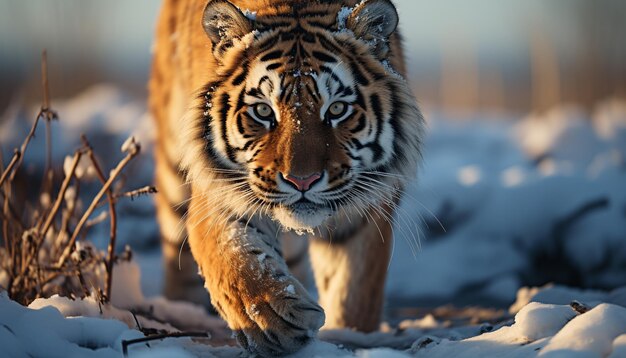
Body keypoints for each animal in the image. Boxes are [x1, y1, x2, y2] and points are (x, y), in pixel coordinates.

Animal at [150, 0, 424, 354]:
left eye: (337, 110)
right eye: (264, 111)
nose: (302, 181)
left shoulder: (365, 212)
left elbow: (354, 291)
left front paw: (348, 335)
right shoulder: (220, 194)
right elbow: (235, 263)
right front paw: (272, 321)